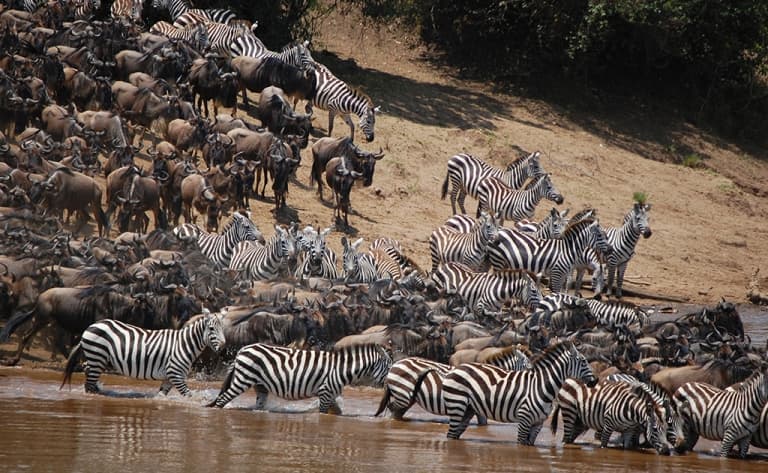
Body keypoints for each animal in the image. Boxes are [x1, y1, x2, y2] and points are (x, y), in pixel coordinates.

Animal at [60, 310, 225, 394]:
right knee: (89, 382)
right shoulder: (175, 373)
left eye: (223, 328)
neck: (184, 345)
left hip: (99, 359)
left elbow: (161, 395)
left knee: (87, 371)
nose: (223, 348)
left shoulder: (169, 377)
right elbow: (189, 395)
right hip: (97, 356)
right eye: (211, 329)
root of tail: (91, 326)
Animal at [207, 342, 392, 412]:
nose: (389, 384)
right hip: (242, 380)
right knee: (222, 400)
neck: (340, 369)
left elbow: (337, 413)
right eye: (390, 367)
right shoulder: (325, 392)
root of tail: (241, 350)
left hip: (260, 386)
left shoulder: (330, 394)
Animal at [440, 340, 596, 442]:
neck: (542, 387)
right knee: (450, 435)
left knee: (454, 435)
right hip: (457, 404)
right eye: (583, 361)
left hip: (467, 409)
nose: (595, 381)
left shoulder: (537, 423)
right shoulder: (524, 419)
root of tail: (456, 368)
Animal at [488, 218, 616, 294]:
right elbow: (556, 293)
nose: (611, 249)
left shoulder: (564, 274)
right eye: (599, 235)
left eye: (605, 235)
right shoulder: (556, 273)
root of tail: (499, 230)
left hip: (504, 262)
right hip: (498, 260)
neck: (567, 250)